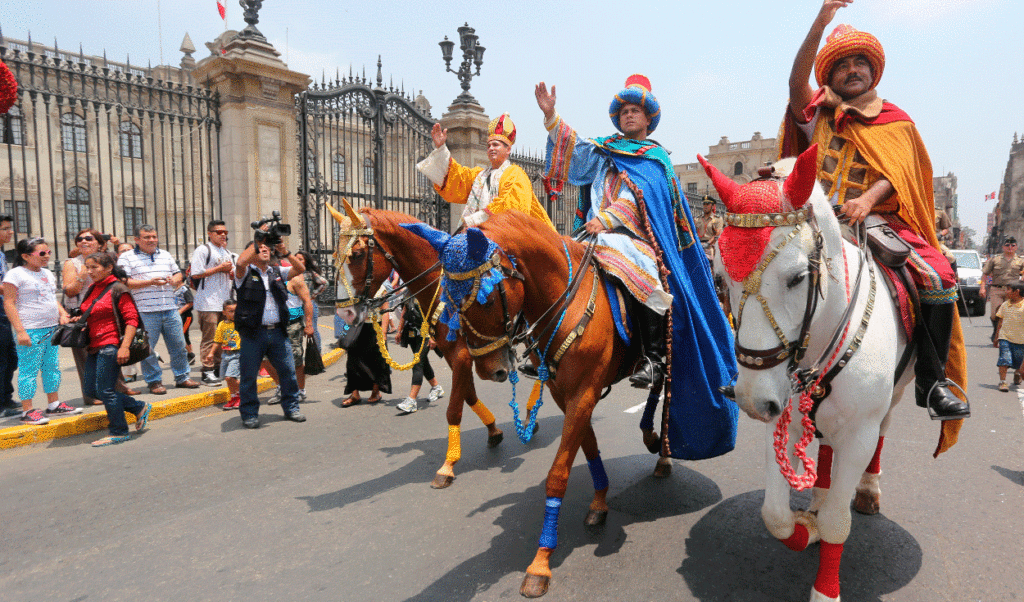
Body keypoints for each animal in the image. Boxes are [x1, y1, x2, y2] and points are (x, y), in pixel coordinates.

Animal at [325, 202, 505, 489]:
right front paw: (493, 429)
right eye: (334, 254)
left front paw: (448, 465)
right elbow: (468, 396)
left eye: (357, 254)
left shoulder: (462, 355)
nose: (346, 314)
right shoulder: (455, 355)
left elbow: (454, 409)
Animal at [403, 208, 643, 593]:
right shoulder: (567, 394)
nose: (489, 370)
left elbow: (558, 473)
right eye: (450, 301)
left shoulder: (584, 392)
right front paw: (599, 501)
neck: (568, 301)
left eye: (485, 298)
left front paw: (540, 563)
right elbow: (588, 445)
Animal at [696, 147, 913, 602]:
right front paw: (804, 525)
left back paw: (867, 490)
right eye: (719, 278)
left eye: (797, 277)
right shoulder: (783, 415)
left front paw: (825, 588)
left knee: (883, 430)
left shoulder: (860, 433)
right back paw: (818, 496)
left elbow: (837, 522)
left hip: (894, 398)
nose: (751, 399)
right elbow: (775, 516)